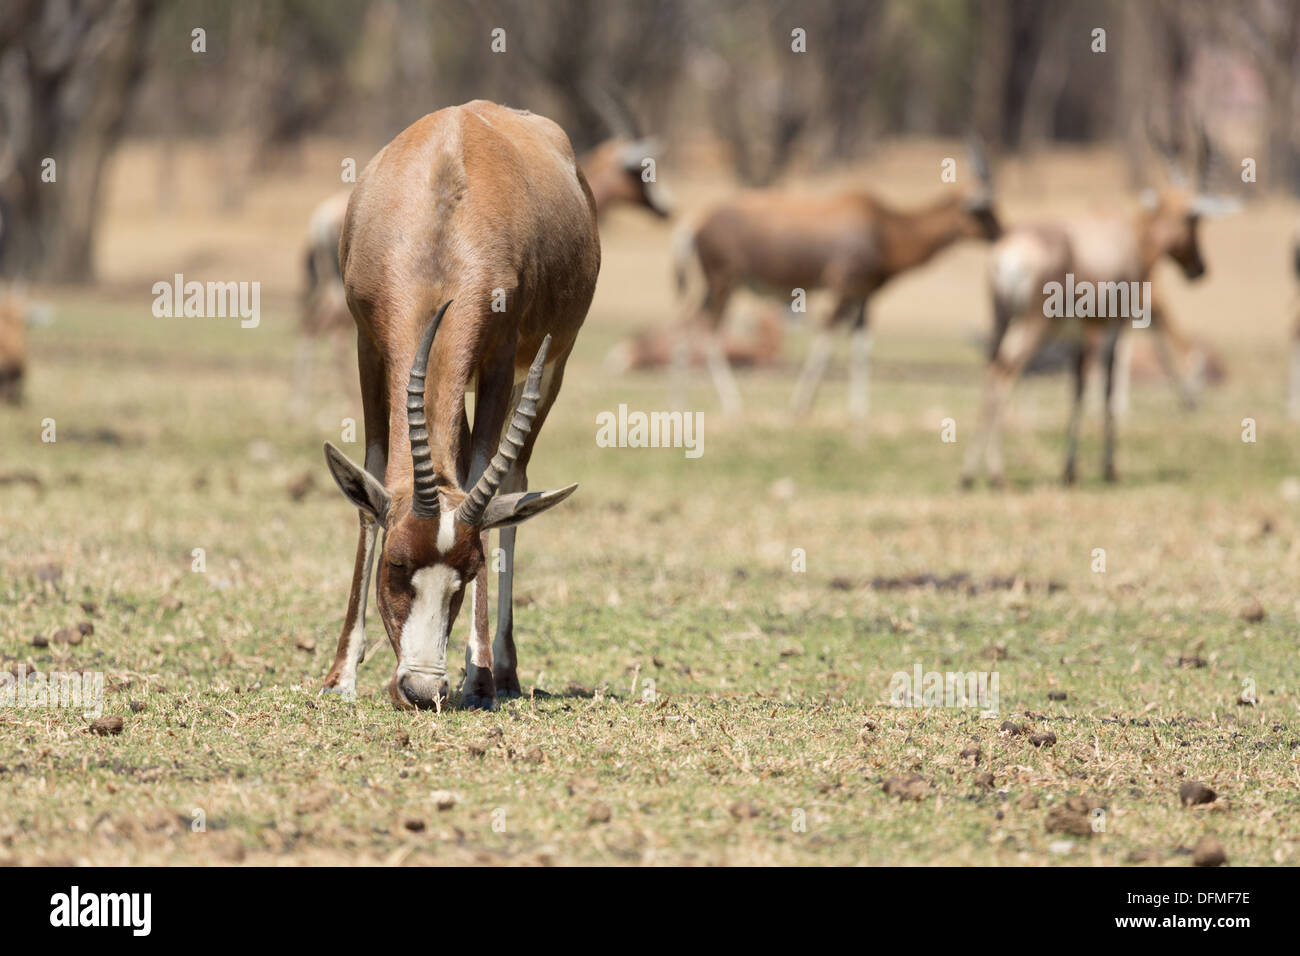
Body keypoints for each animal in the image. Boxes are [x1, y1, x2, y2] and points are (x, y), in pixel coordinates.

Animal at [317, 100, 600, 712]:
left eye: (467, 575)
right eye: (397, 562)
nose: (422, 690)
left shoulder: (500, 357)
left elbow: (483, 479)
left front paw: (482, 678)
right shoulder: (368, 346)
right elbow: (370, 481)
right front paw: (339, 677)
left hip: (553, 364)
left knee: (512, 480)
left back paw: (503, 670)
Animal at [670, 141, 993, 416]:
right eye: (985, 212)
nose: (1000, 231)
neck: (883, 226)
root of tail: (696, 225)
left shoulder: (864, 296)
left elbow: (861, 346)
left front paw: (858, 410)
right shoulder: (844, 289)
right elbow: (826, 338)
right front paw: (800, 405)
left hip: (715, 288)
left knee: (687, 323)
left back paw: (682, 403)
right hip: (725, 285)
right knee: (709, 330)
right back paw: (732, 405)